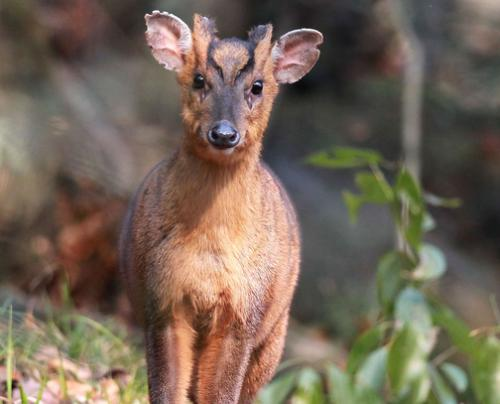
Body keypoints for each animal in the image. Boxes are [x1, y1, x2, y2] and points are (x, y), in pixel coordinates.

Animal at [121, 10, 324, 404]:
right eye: (199, 79)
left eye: (257, 86)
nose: (224, 134)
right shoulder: (161, 303)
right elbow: (167, 391)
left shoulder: (244, 316)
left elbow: (220, 394)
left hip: (274, 339)